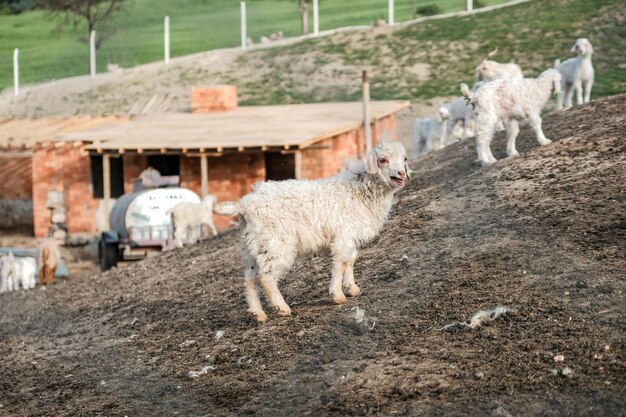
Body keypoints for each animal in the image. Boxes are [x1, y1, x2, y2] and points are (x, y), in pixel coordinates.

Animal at [214, 141, 410, 322]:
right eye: (382, 160)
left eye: (404, 159)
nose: (401, 174)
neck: (357, 190)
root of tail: (244, 205)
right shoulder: (343, 235)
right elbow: (340, 263)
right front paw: (338, 295)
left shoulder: (350, 237)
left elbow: (350, 261)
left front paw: (352, 288)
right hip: (275, 244)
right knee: (265, 277)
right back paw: (282, 308)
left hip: (252, 247)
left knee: (249, 278)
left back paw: (259, 314)